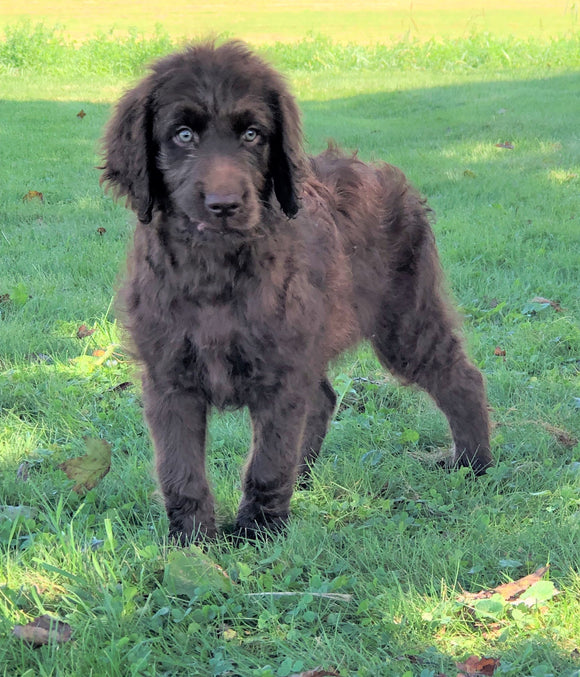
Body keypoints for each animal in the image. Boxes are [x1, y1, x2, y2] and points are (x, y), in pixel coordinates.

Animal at [102, 41, 492, 540]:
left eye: (253, 135)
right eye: (183, 135)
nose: (225, 205)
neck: (215, 270)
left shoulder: (281, 372)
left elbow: (267, 464)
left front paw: (258, 534)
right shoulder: (170, 379)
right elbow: (180, 469)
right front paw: (192, 542)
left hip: (404, 319)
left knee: (460, 377)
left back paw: (474, 464)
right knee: (323, 399)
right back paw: (304, 477)